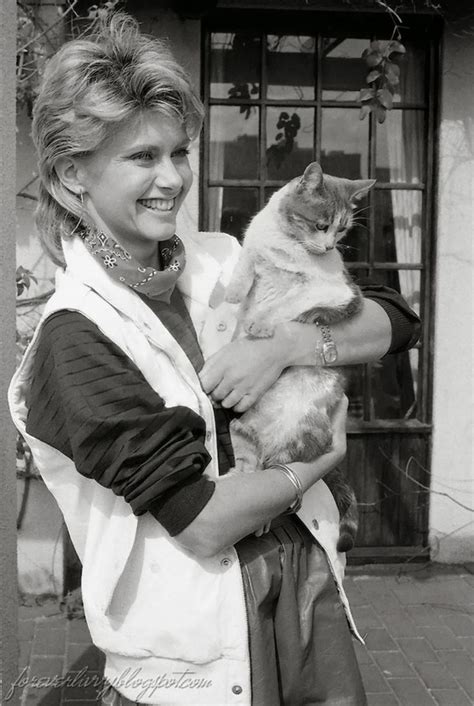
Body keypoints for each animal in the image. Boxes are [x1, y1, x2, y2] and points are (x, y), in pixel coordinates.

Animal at [224, 160, 376, 552]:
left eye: (342, 229)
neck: (285, 243)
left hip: (296, 438)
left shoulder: (332, 290)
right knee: (250, 462)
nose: (330, 245)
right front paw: (233, 292)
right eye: (322, 225)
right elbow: (245, 263)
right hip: (241, 427)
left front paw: (260, 323)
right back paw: (234, 475)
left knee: (273, 478)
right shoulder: (253, 246)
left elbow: (284, 305)